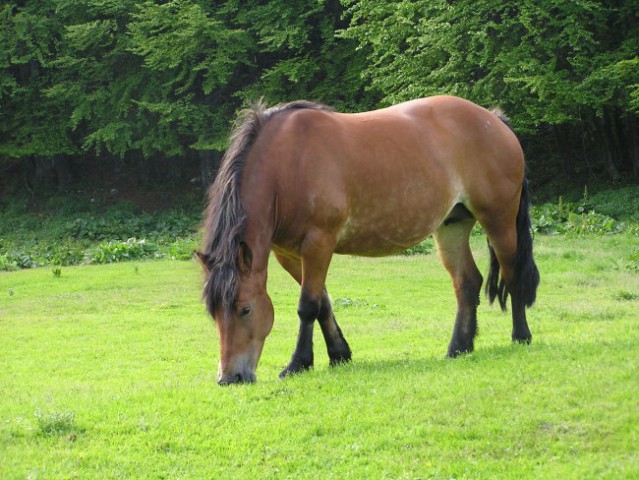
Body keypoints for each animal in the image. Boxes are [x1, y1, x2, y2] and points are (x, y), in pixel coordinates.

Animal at [196, 95, 540, 384]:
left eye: (245, 310)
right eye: (213, 313)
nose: (229, 378)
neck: (287, 165)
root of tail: (493, 119)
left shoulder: (318, 243)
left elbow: (308, 305)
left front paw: (298, 363)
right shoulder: (289, 254)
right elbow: (323, 302)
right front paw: (339, 354)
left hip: (499, 221)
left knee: (512, 274)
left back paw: (521, 336)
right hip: (452, 226)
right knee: (467, 282)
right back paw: (459, 347)